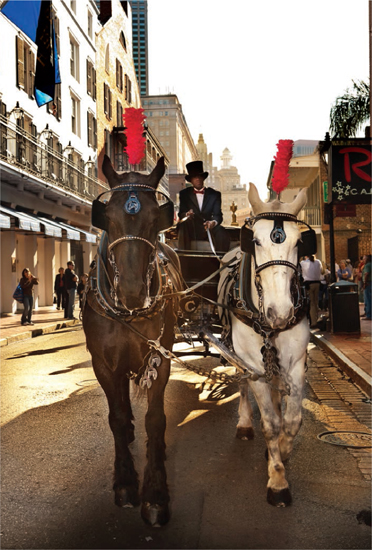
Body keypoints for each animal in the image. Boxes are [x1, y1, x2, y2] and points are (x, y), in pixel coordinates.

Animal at [82, 157, 182, 528]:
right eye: (108, 216)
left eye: (156, 218)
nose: (132, 292)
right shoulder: (102, 362)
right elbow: (117, 416)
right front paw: (125, 480)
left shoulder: (161, 356)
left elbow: (156, 418)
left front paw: (155, 493)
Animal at [219, 184, 310, 508]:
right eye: (255, 241)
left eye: (299, 242)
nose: (279, 312)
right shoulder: (252, 364)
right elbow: (270, 423)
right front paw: (278, 480)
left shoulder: (296, 363)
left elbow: (292, 421)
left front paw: (281, 452)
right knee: (243, 384)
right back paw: (245, 422)